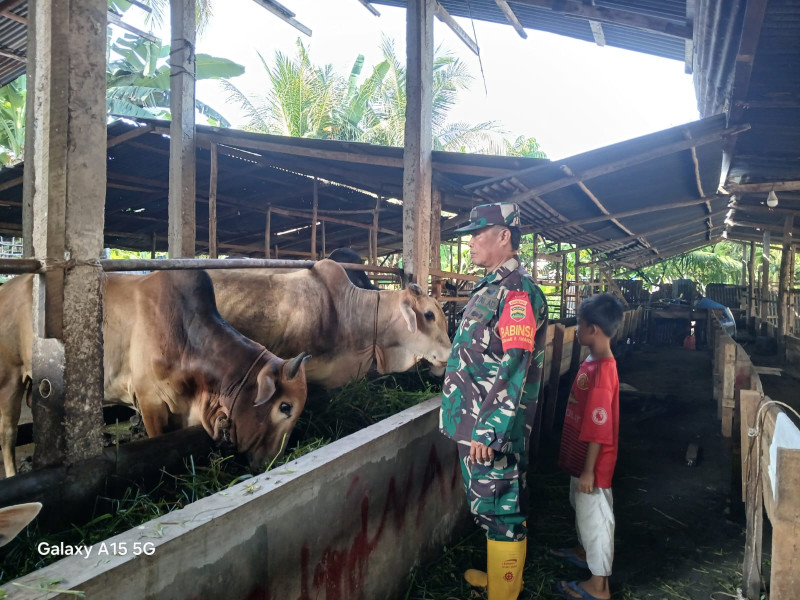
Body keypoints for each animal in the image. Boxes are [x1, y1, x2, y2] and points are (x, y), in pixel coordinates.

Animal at [0, 270, 310, 476]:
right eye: (285, 407)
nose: (272, 462)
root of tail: (8, 286)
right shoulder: (150, 402)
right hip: (10, 378)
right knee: (8, 434)